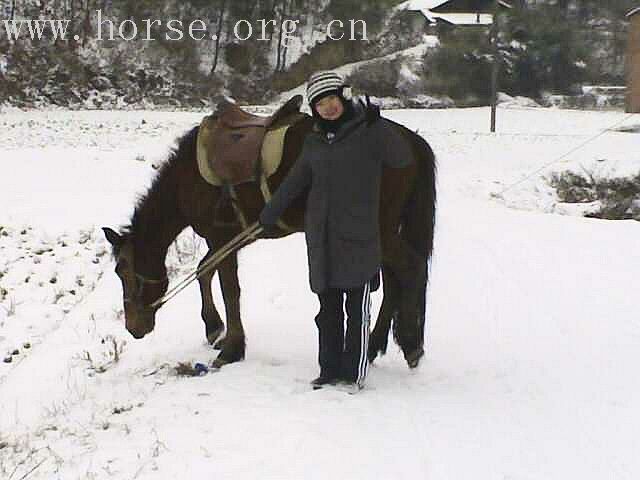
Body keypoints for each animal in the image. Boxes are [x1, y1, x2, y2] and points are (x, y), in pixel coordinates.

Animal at [104, 109, 436, 372]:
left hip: (378, 230)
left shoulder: (220, 236)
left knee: (412, 268)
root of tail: (409, 140)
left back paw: (410, 345)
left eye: (122, 271)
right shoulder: (232, 238)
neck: (187, 178)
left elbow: (229, 289)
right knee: (394, 281)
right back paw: (377, 344)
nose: (134, 328)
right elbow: (204, 271)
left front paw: (232, 347)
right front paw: (214, 329)